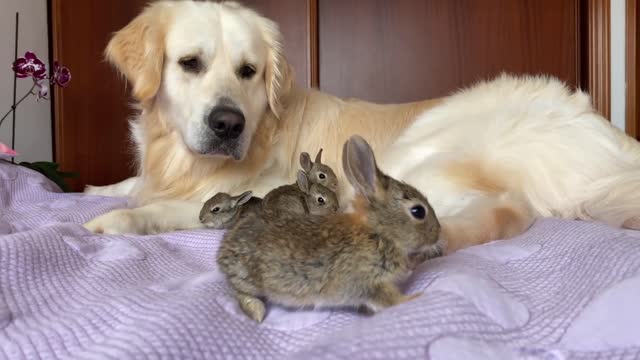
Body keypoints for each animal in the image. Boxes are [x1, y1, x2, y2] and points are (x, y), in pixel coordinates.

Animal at [218, 135, 442, 324]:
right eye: (418, 211)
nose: (438, 233)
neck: (378, 233)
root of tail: (223, 251)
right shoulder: (366, 283)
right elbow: (388, 300)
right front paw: (415, 298)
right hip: (248, 279)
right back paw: (256, 311)